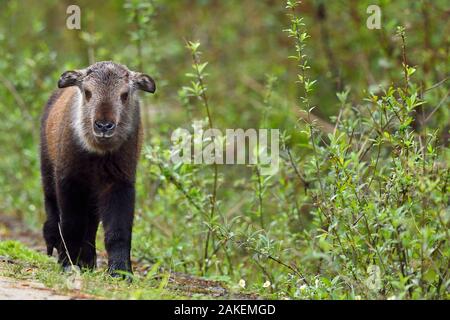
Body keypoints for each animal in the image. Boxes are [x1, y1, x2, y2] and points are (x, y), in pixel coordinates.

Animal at [40, 61, 156, 276]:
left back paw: (88, 262)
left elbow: (117, 232)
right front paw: (67, 263)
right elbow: (71, 225)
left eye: (125, 94)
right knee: (53, 210)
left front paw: (121, 272)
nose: (103, 125)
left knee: (91, 224)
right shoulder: (69, 180)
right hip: (48, 172)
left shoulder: (119, 182)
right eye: (87, 92)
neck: (97, 153)